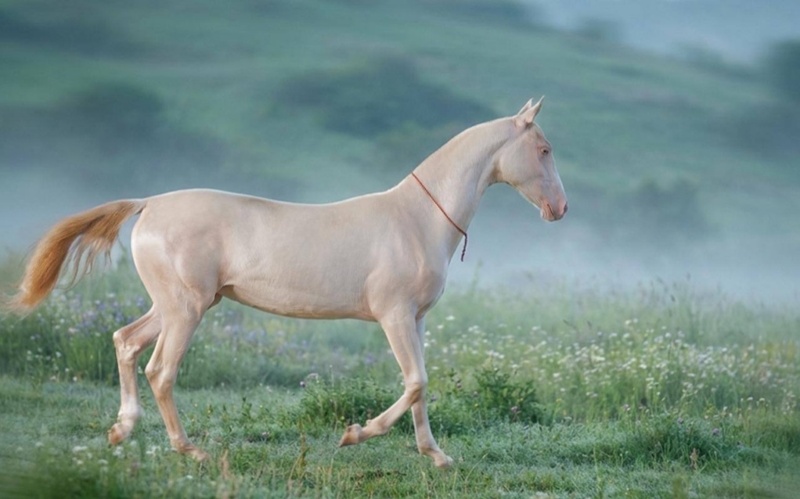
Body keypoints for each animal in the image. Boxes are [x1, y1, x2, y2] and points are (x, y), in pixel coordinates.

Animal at [8, 97, 567, 468]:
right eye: (543, 149)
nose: (559, 209)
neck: (417, 220)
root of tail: (149, 204)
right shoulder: (394, 316)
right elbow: (416, 382)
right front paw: (355, 434)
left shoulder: (417, 321)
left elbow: (421, 388)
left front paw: (436, 456)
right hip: (186, 309)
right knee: (160, 370)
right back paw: (190, 450)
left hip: (175, 305)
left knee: (125, 343)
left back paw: (121, 431)